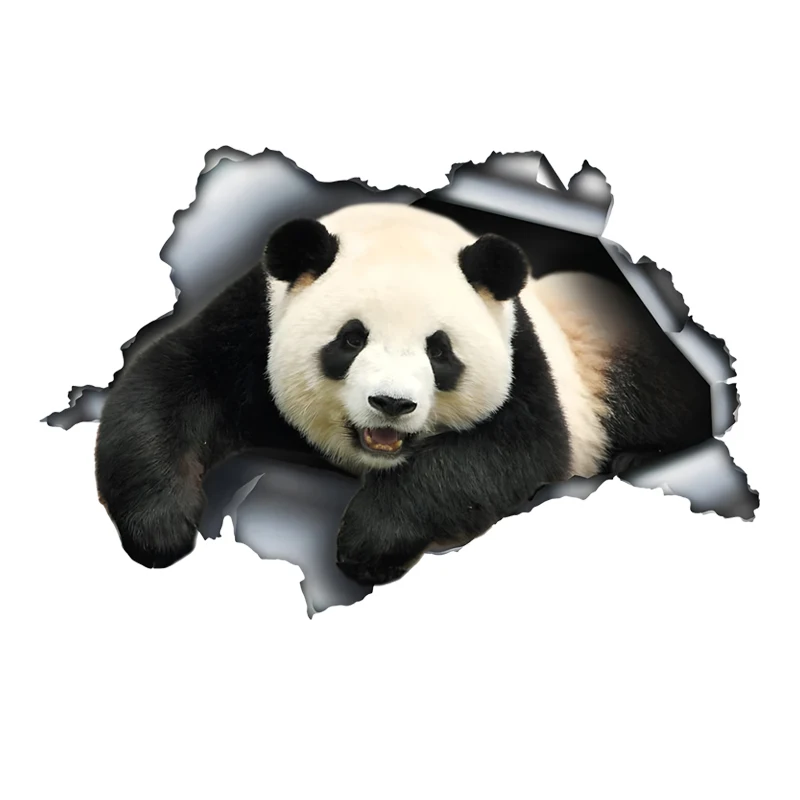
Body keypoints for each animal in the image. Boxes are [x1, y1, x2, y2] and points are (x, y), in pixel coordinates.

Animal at [95, 202, 710, 585]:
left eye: (440, 351)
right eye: (351, 339)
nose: (391, 405)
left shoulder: (524, 355)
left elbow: (511, 452)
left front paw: (369, 543)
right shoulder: (254, 324)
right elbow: (168, 384)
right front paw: (160, 528)